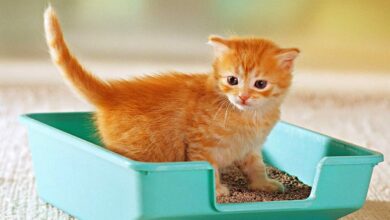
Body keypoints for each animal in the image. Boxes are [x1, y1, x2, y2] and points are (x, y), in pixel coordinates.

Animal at [43, 6, 298, 196]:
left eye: (260, 84)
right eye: (232, 80)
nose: (243, 96)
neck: (248, 116)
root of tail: (112, 92)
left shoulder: (251, 148)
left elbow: (256, 167)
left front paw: (264, 185)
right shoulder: (201, 145)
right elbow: (210, 169)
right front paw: (216, 191)